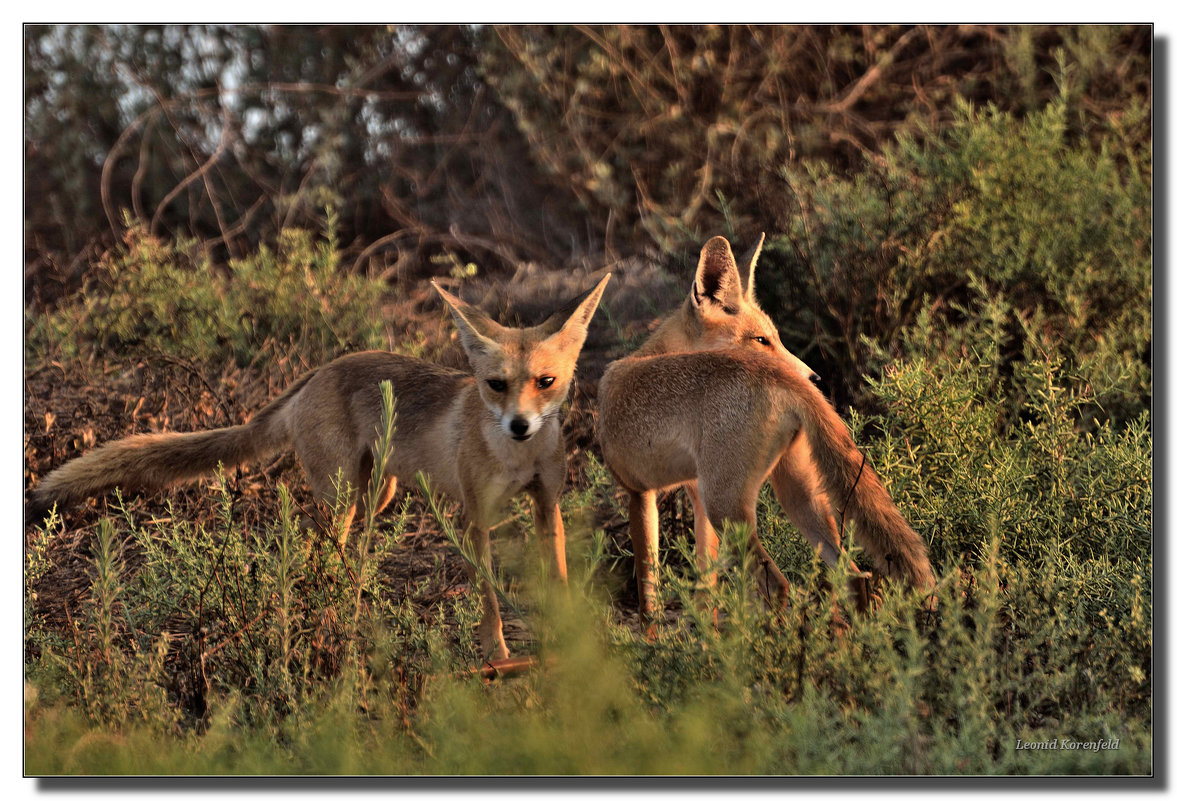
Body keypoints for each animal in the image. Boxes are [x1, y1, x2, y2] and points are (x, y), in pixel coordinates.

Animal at [31, 271, 612, 658]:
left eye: (546, 382)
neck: (516, 458)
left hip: (375, 493)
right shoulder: (474, 517)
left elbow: (559, 580)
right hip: (341, 497)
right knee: (313, 554)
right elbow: (489, 597)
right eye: (495, 385)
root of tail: (318, 370)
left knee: (341, 555)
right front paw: (496, 655)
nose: (519, 425)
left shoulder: (547, 506)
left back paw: (347, 605)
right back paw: (322, 615)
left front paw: (569, 647)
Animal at [602, 232, 932, 625]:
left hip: (728, 507)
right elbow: (705, 590)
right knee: (855, 577)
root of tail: (782, 380)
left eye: (774, 338)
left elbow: (648, 597)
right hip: (795, 498)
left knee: (780, 586)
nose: (815, 378)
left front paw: (657, 638)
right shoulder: (694, 495)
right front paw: (706, 636)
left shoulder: (638, 491)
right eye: (762, 340)